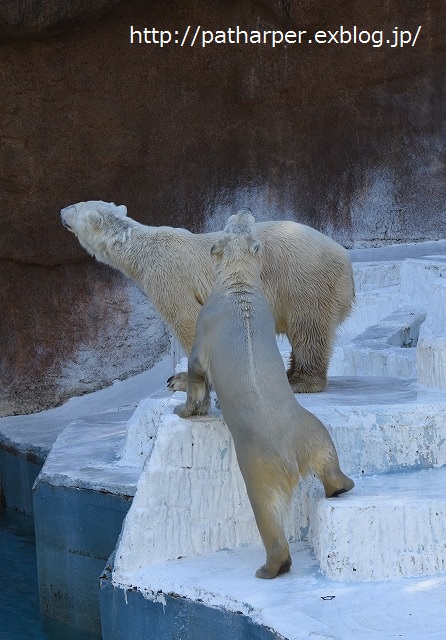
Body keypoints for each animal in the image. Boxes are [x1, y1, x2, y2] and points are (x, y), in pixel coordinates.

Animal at [59, 200, 354, 392]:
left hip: (304, 281)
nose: (60, 210)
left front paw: (181, 380)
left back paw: (301, 381)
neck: (142, 250)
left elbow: (187, 319)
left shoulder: (168, 278)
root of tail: (345, 263)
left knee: (308, 328)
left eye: (74, 206)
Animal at [174, 212, 356, 576]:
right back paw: (342, 485)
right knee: (327, 455)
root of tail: (292, 458)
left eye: (230, 221)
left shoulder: (206, 323)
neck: (238, 285)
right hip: (311, 429)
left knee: (266, 511)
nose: (245, 209)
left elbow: (197, 370)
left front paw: (185, 407)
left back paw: (271, 566)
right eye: (241, 222)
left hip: (259, 464)